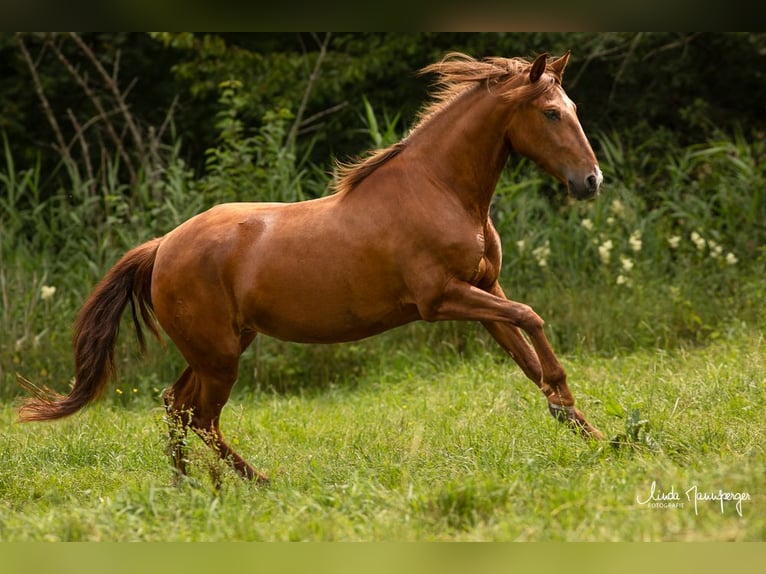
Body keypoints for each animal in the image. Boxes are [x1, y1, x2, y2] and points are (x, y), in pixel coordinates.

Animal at [19, 50, 608, 486]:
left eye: (574, 105)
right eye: (551, 113)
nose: (590, 182)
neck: (440, 189)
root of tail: (162, 247)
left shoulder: (483, 288)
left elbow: (525, 354)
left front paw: (593, 434)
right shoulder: (442, 298)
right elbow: (532, 318)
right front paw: (572, 408)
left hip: (220, 349)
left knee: (176, 406)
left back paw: (192, 487)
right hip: (219, 357)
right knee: (201, 416)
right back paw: (257, 483)